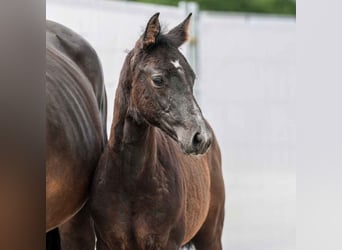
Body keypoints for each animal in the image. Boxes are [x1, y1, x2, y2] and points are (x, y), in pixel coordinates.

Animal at [89, 13, 226, 250]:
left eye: (192, 77)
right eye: (158, 79)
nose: (201, 138)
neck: (131, 181)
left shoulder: (166, 242)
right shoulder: (107, 242)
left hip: (211, 236)